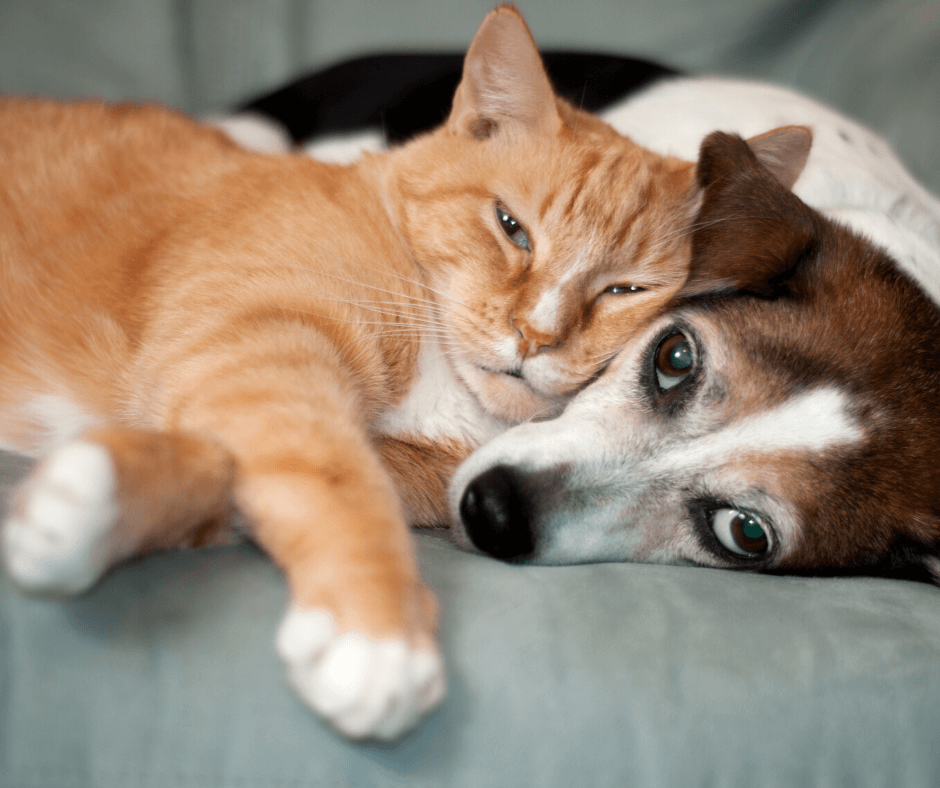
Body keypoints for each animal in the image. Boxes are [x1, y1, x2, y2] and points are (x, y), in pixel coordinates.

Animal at [0, 4, 808, 740]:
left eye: (626, 290)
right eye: (511, 227)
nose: (535, 335)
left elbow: (227, 477)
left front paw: (87, 503)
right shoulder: (259, 349)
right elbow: (334, 478)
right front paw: (377, 635)